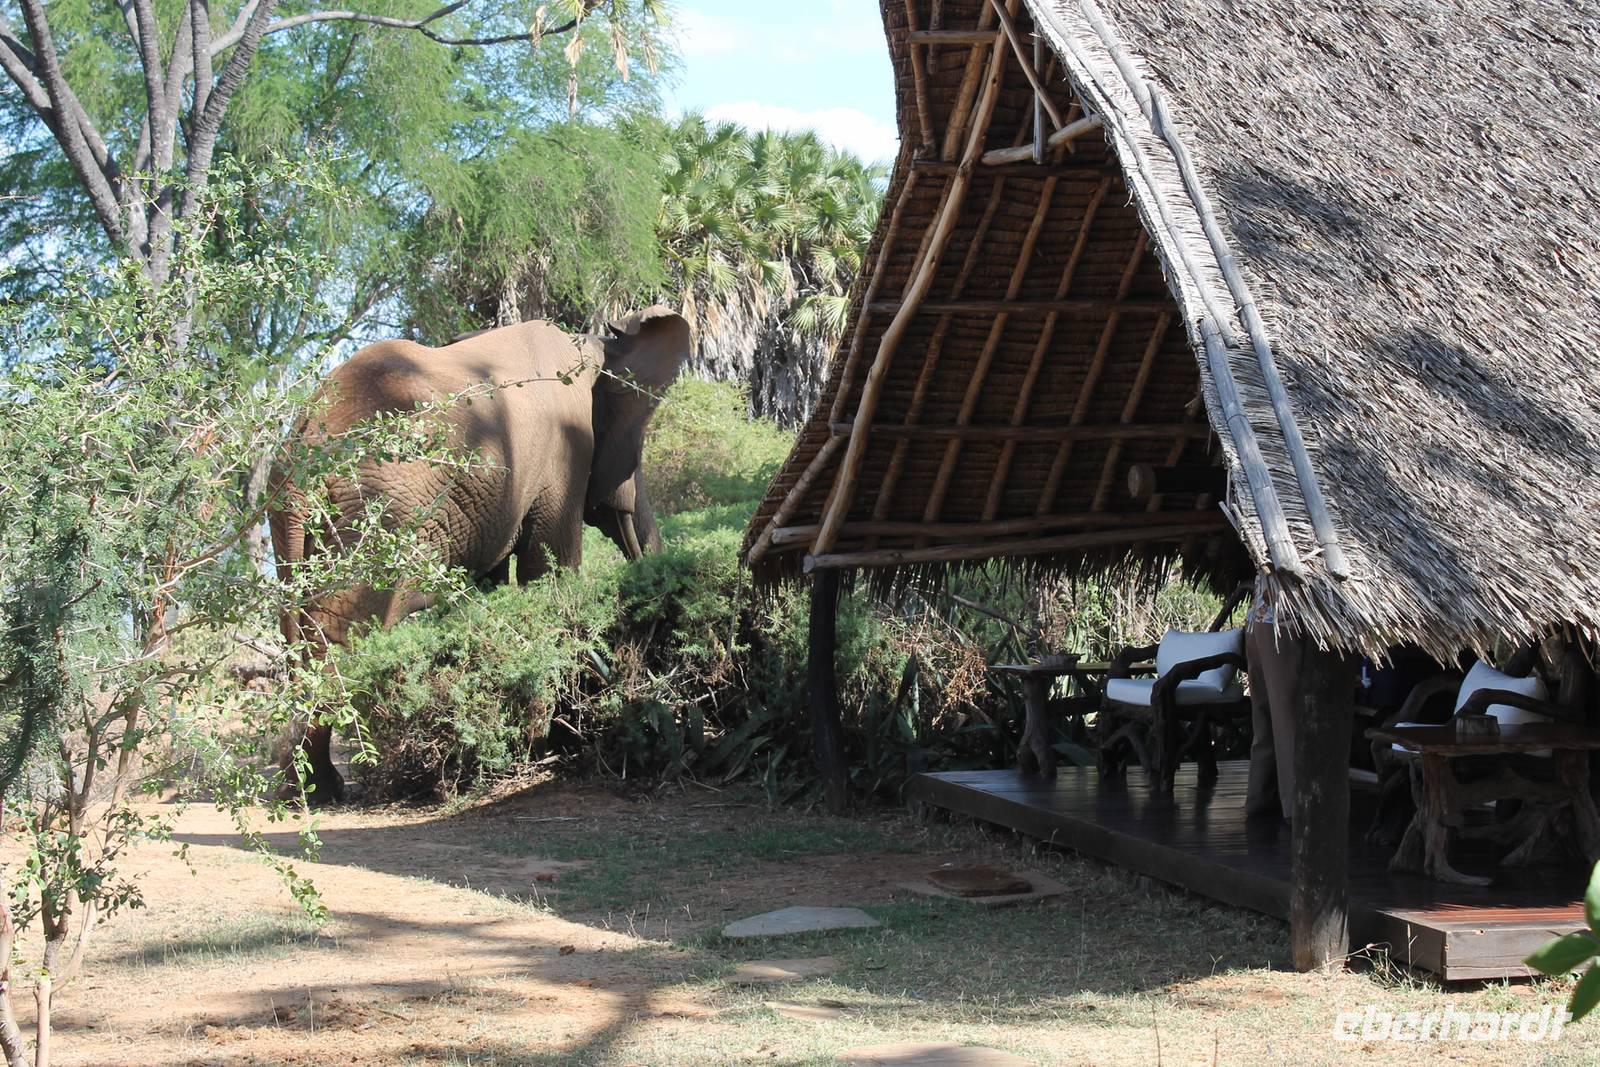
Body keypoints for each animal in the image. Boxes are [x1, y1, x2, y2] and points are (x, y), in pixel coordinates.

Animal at [268, 306, 691, 800]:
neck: (591, 343)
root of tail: (306, 443)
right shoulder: (565, 454)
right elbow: (549, 575)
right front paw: (552, 744)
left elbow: (495, 584)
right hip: (377, 513)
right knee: (342, 642)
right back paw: (325, 791)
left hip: (288, 521)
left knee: (300, 637)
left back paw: (309, 789)